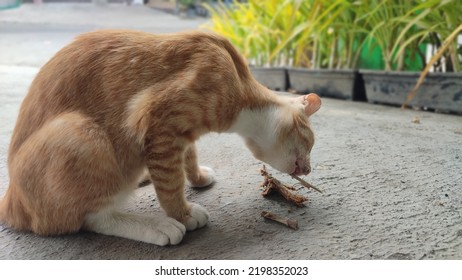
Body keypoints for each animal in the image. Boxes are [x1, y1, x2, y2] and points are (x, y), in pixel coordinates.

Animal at [0, 30, 322, 245]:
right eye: (310, 142)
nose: (308, 169)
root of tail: (11, 200)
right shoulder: (159, 124)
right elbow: (169, 183)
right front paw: (182, 214)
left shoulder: (181, 134)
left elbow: (188, 158)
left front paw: (198, 177)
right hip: (81, 133)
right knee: (90, 218)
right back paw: (156, 226)